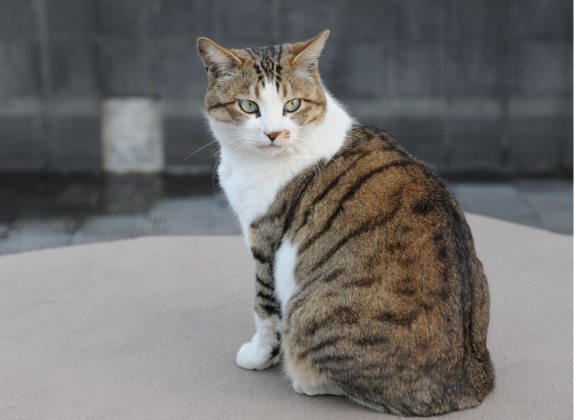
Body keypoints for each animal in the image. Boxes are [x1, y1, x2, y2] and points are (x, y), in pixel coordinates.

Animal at [197, 30, 496, 416]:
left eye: (292, 105)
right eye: (249, 106)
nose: (274, 133)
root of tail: (468, 387)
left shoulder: (266, 239)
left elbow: (264, 308)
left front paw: (258, 355)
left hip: (310, 311)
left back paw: (305, 379)